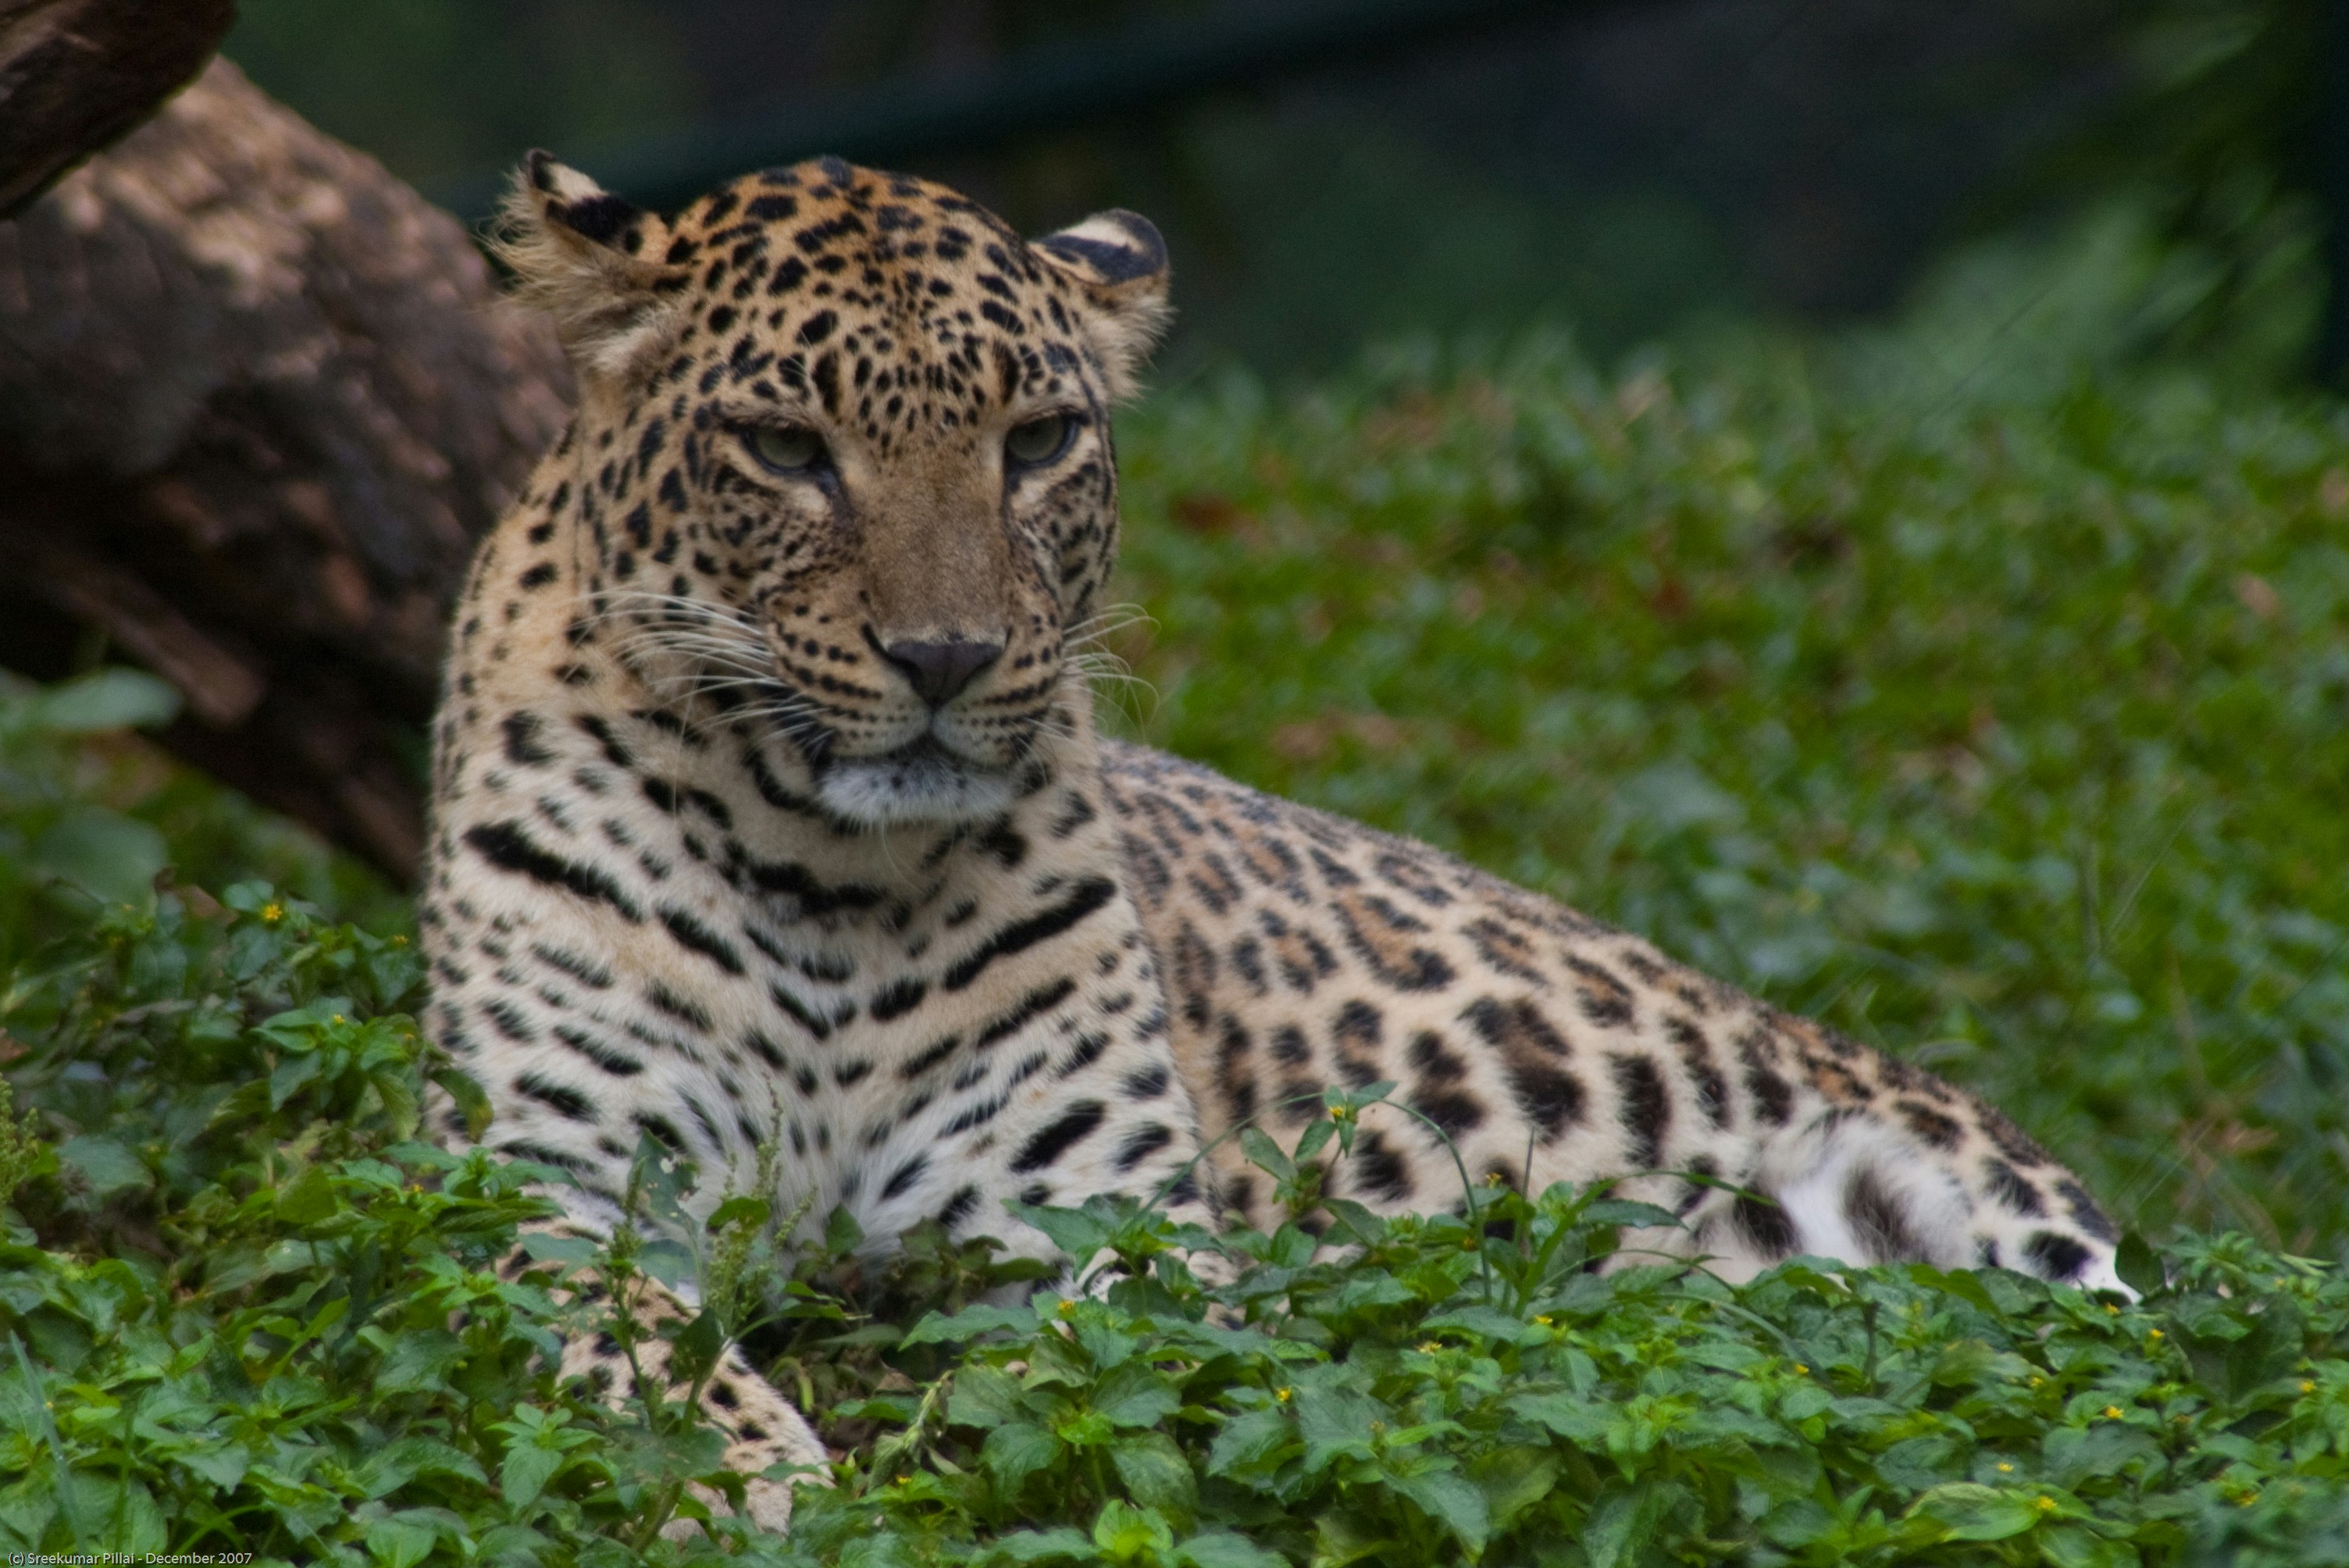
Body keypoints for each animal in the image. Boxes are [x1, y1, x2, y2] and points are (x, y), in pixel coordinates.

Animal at [420, 151, 2125, 1533]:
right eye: (784, 448)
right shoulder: (543, 1186)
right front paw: (746, 1478)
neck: (825, 872)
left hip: (2013, 1240)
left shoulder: (1090, 1223)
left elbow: (1111, 1378)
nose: (948, 657)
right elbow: (644, 1347)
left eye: (1036, 440)